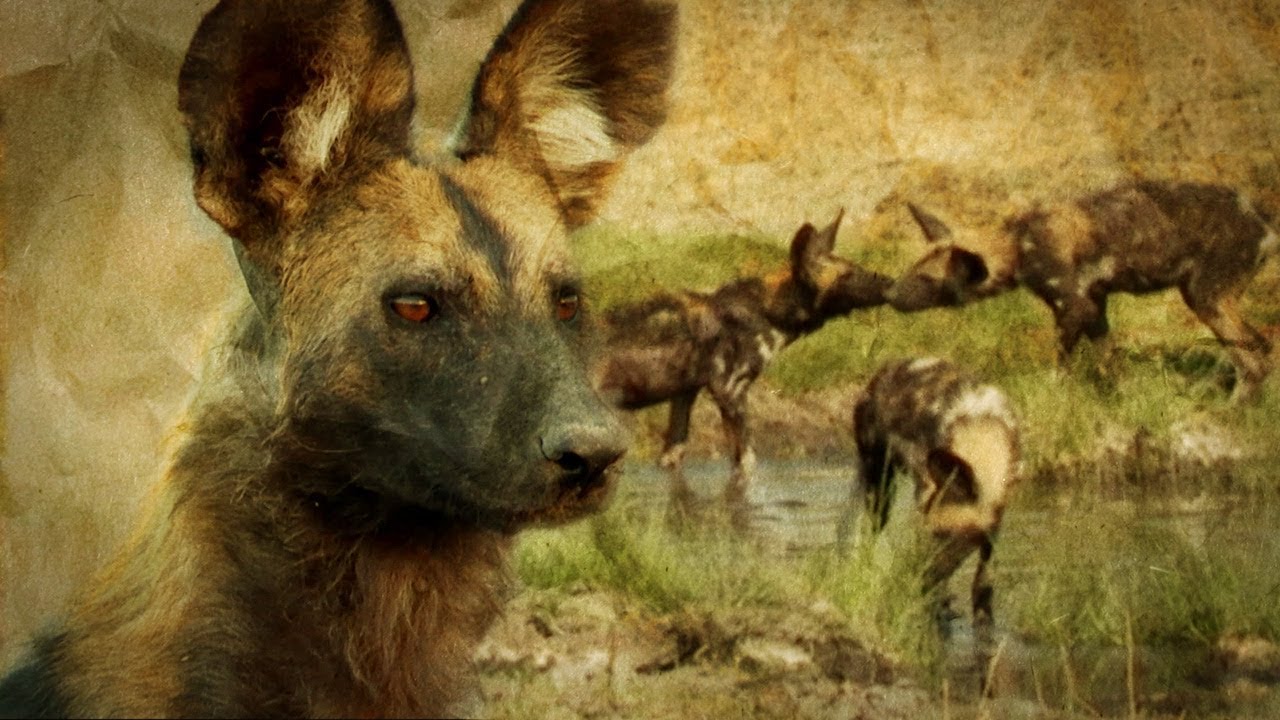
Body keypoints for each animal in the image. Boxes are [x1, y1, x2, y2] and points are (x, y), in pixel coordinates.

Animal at [596, 210, 891, 501]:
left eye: (858, 268)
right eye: (848, 276)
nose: (890, 281)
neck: (767, 310)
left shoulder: (684, 396)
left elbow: (672, 461)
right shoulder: (731, 393)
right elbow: (747, 465)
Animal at [850, 357, 1021, 629]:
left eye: (949, 537)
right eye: (932, 536)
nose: (918, 580)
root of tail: (883, 371)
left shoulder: (997, 514)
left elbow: (983, 578)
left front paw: (982, 615)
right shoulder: (925, 491)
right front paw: (938, 609)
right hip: (880, 486)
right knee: (871, 531)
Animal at [887, 180, 1278, 401]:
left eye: (927, 280)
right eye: (912, 269)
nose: (890, 295)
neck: (1018, 243)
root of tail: (1261, 218)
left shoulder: (1071, 307)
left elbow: (1061, 366)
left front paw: (1055, 395)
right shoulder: (1093, 307)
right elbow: (1112, 362)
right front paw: (1124, 398)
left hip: (1205, 298)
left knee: (1255, 357)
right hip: (1207, 300)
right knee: (1257, 352)